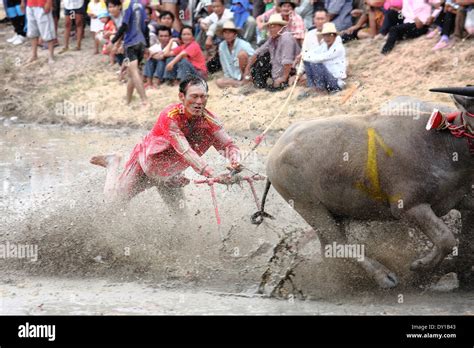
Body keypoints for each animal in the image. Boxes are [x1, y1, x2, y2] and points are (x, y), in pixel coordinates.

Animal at [254, 89, 472, 288]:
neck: (442, 144)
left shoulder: (464, 200)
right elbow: (446, 239)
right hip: (310, 207)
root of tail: (274, 153)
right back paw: (384, 276)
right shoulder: (409, 206)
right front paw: (421, 268)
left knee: (329, 249)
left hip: (332, 212)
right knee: (338, 245)